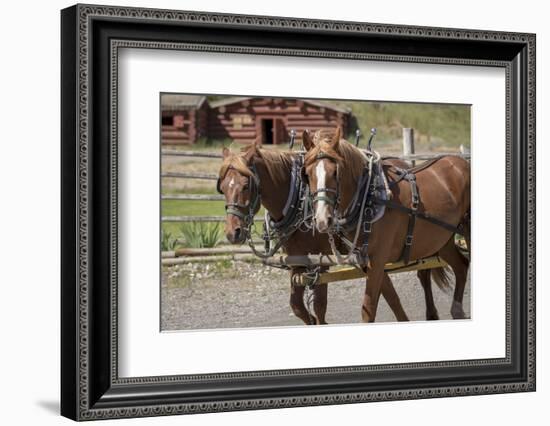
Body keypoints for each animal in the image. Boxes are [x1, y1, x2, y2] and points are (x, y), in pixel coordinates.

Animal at [220, 142, 452, 322]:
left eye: (246, 185)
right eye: (222, 188)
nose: (233, 232)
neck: (299, 200)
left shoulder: (321, 260)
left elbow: (320, 305)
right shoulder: (297, 260)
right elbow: (297, 306)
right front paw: (311, 320)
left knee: (423, 272)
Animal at [304, 128, 472, 322]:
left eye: (335, 173)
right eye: (307, 174)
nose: (323, 220)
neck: (369, 197)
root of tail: (462, 162)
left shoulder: (377, 260)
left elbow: (369, 309)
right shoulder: (369, 263)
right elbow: (393, 300)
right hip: (441, 239)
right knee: (461, 266)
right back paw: (457, 311)